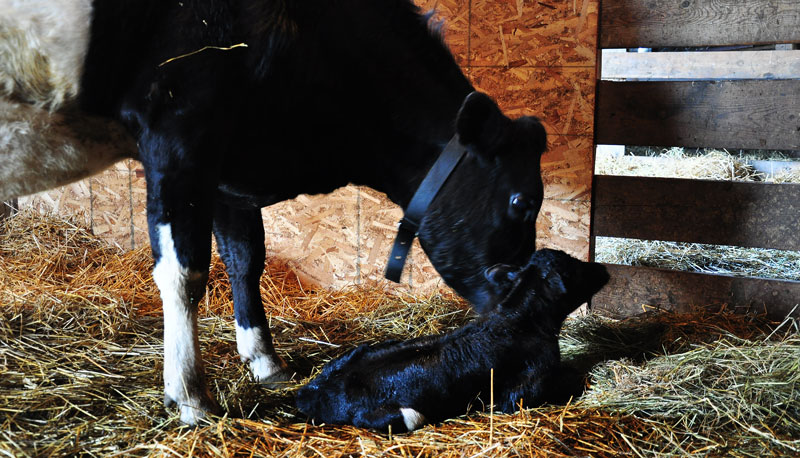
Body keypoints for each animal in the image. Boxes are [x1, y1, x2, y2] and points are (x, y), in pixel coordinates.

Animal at [1, 0, 547, 424]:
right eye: (522, 201)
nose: (518, 289)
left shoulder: (221, 160)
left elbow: (245, 259)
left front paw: (265, 363)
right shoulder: (176, 132)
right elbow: (183, 272)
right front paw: (190, 396)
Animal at [296, 249, 610, 432]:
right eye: (572, 267)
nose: (604, 269)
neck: (520, 320)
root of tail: (310, 393)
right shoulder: (520, 393)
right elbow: (573, 381)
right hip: (401, 413)